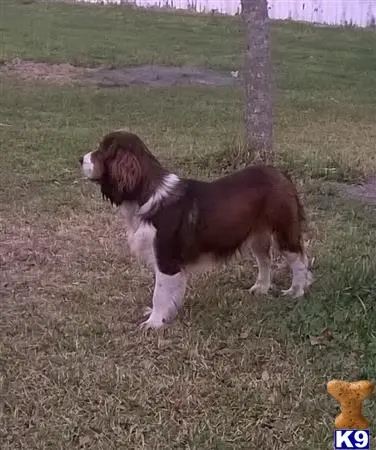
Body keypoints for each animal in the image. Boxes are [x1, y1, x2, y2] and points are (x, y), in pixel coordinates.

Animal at [78, 132, 312, 328]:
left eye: (102, 150)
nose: (80, 159)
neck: (146, 195)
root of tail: (282, 174)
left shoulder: (166, 259)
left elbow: (159, 293)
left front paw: (153, 323)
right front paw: (164, 315)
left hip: (284, 230)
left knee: (299, 261)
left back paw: (296, 291)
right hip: (257, 236)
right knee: (265, 261)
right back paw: (261, 288)